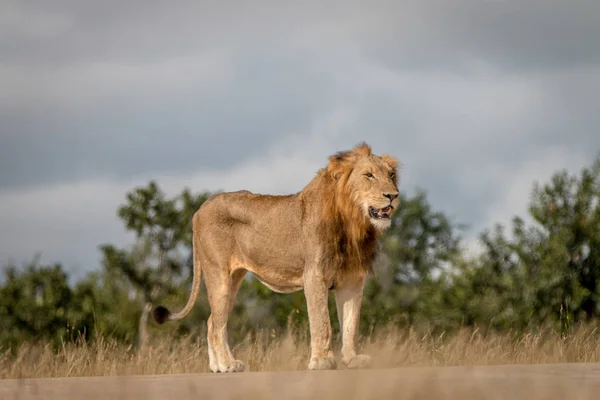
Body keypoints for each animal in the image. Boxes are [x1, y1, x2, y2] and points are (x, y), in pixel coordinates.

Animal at [152, 142, 400, 374]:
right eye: (368, 175)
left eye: (391, 175)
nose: (393, 196)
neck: (353, 221)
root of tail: (198, 210)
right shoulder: (314, 275)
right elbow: (322, 322)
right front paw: (322, 361)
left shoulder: (351, 280)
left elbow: (351, 323)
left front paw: (351, 359)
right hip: (218, 274)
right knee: (216, 325)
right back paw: (228, 365)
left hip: (233, 279)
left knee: (212, 320)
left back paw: (217, 366)